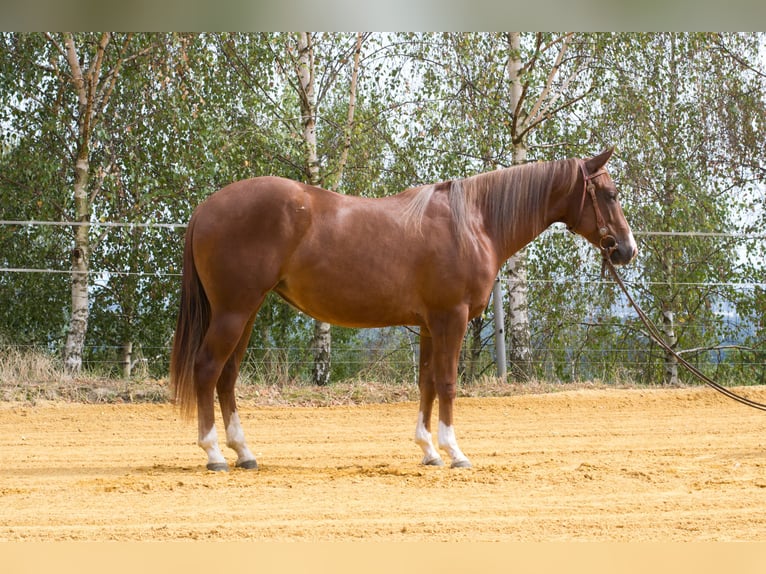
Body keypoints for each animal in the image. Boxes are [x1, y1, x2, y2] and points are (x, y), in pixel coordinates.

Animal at [171, 148, 640, 472]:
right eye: (610, 194)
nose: (627, 249)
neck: (474, 223)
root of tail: (206, 207)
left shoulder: (431, 324)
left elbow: (426, 384)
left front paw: (428, 450)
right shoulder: (451, 318)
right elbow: (448, 384)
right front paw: (455, 452)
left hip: (245, 312)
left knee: (227, 376)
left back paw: (244, 453)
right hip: (234, 311)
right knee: (208, 369)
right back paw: (214, 454)